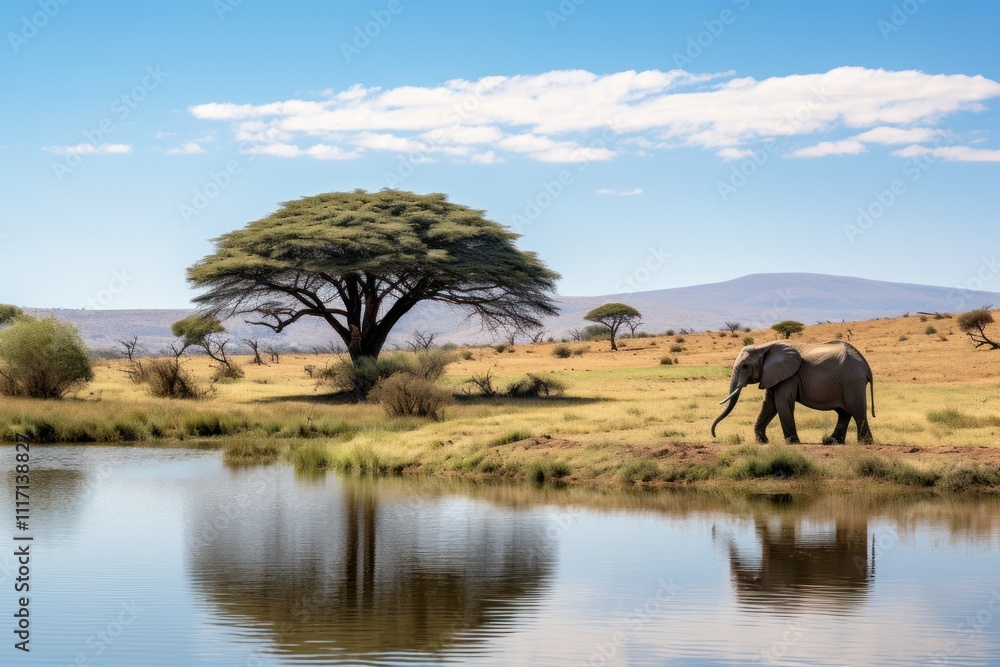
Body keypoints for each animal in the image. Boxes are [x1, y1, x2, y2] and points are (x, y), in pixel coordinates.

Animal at [711, 340, 874, 444]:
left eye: (745, 366)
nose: (714, 436)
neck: (763, 347)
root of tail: (867, 368)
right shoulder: (774, 375)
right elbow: (769, 405)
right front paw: (762, 442)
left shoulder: (789, 377)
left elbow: (781, 403)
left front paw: (793, 442)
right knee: (844, 412)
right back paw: (832, 442)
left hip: (852, 381)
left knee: (856, 410)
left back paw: (865, 443)